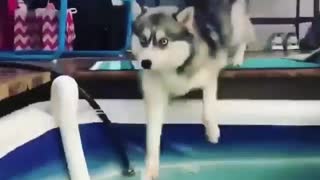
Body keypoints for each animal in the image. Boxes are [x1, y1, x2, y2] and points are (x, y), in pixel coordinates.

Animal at [131, 1, 255, 179]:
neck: (171, 67)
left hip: (235, 22)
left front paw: (212, 132)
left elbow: (208, 109)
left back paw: (238, 57)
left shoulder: (210, 75)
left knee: (243, 35)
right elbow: (152, 135)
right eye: (143, 40)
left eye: (163, 41)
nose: (145, 63)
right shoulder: (154, 95)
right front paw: (150, 169)